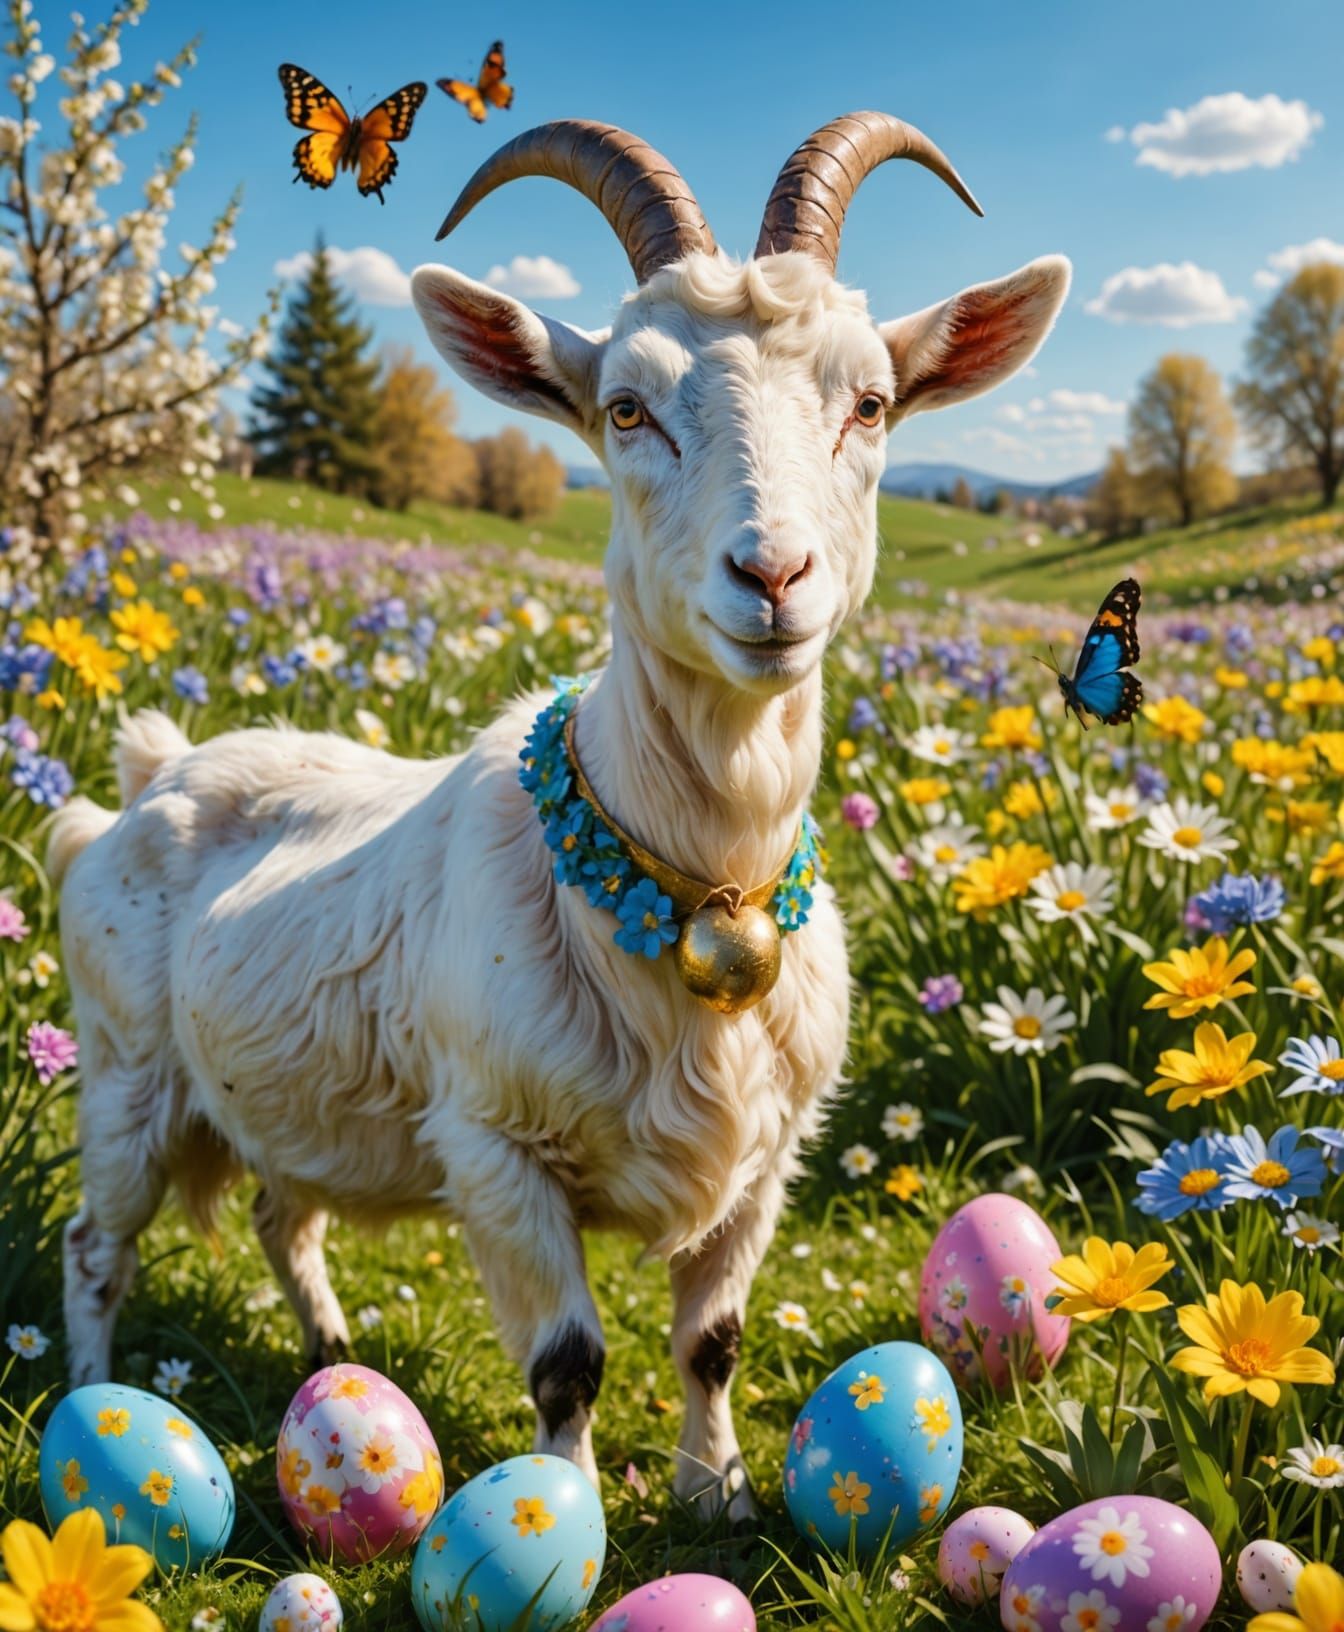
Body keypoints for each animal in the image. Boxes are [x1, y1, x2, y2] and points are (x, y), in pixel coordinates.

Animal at [51, 113, 1068, 1514]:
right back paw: (90, 1398)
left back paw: (330, 1351)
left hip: (283, 1091)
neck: (696, 886)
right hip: (125, 1071)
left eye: (869, 403)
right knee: (94, 1246)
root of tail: (156, 765)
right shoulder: (495, 1150)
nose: (773, 576)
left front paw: (717, 1488)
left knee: (280, 1211)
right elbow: (569, 1365)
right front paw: (567, 1512)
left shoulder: (768, 1164)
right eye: (625, 408)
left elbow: (713, 1339)